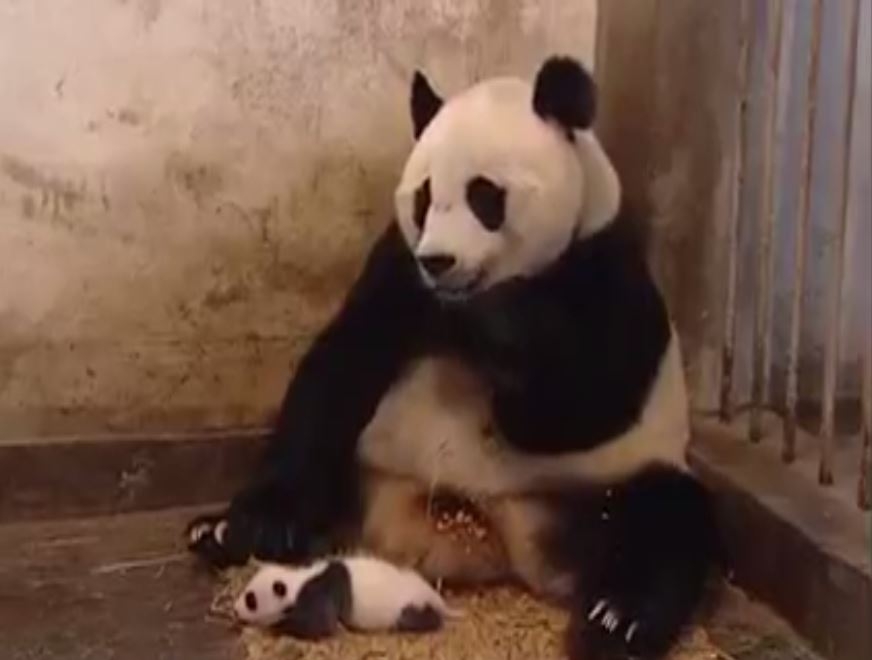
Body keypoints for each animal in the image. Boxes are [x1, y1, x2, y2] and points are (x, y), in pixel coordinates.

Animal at [186, 56, 720, 659]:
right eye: (423, 197)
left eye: (485, 195)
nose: (439, 261)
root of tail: (490, 536)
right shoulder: (398, 265)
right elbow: (341, 366)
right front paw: (254, 522)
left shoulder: (605, 269)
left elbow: (584, 403)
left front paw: (507, 332)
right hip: (367, 464)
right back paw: (227, 534)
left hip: (600, 483)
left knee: (666, 518)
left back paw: (617, 617)